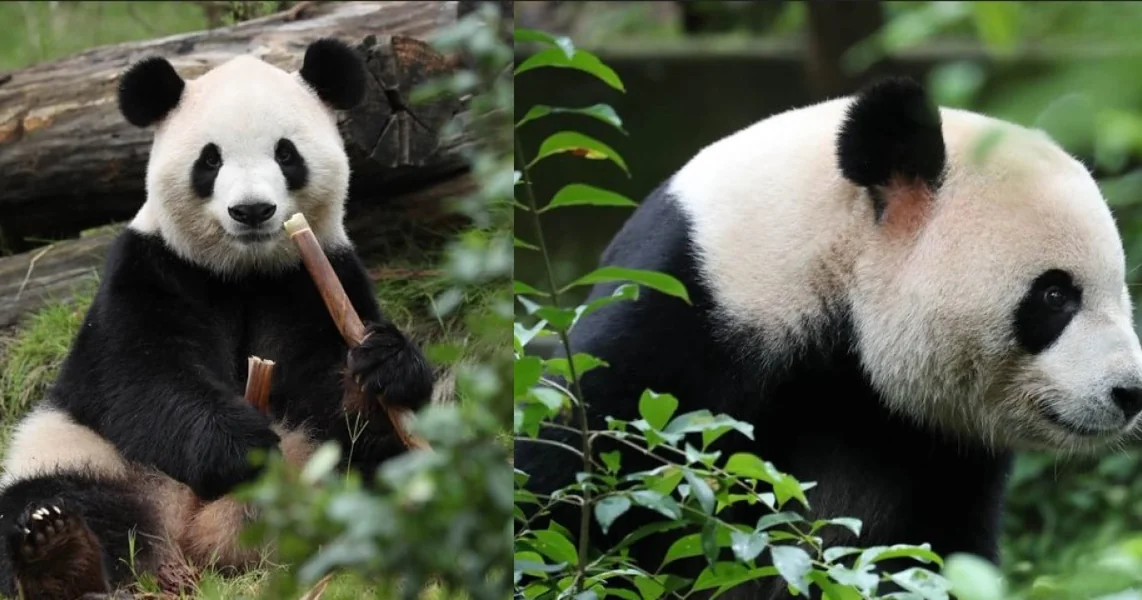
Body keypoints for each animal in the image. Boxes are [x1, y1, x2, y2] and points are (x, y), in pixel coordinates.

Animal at [0, 39, 437, 599]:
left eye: (286, 153)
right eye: (210, 159)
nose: (251, 211)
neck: (243, 271)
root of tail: (192, 538)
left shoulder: (313, 277)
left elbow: (326, 386)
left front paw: (382, 367)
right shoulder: (151, 269)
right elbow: (140, 375)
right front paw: (240, 446)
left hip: (317, 471)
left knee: (382, 471)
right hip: (84, 451)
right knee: (52, 497)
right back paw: (58, 551)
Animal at [514, 78, 1142, 597]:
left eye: (1119, 288)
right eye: (1055, 296)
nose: (1130, 393)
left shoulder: (927, 441)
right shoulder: (685, 312)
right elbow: (569, 468)